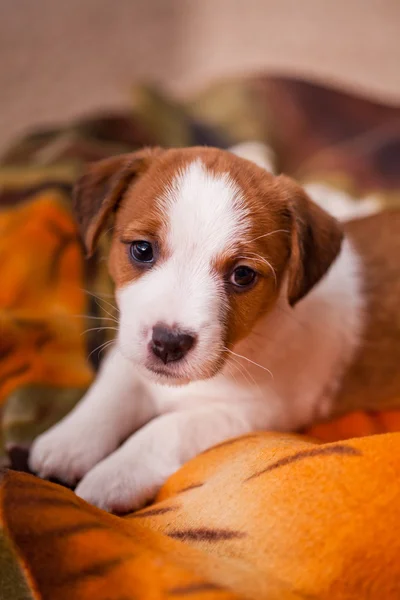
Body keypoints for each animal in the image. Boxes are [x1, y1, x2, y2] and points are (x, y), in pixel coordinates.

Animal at [29, 142, 400, 510]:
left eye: (243, 275)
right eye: (142, 249)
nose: (168, 343)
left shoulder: (252, 413)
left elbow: (165, 429)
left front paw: (115, 474)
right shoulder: (129, 351)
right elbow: (112, 392)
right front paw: (69, 441)